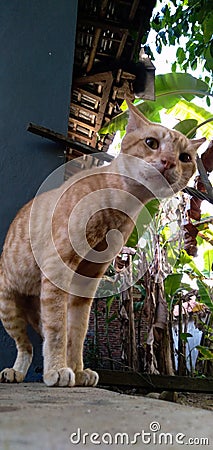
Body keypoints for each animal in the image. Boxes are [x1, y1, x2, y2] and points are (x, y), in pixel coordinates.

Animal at [0, 103, 204, 386]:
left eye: (185, 157)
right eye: (151, 143)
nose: (169, 161)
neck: (119, 208)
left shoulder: (86, 281)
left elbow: (76, 331)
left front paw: (77, 370)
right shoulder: (58, 268)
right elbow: (58, 331)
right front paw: (57, 370)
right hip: (8, 308)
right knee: (25, 345)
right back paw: (16, 372)